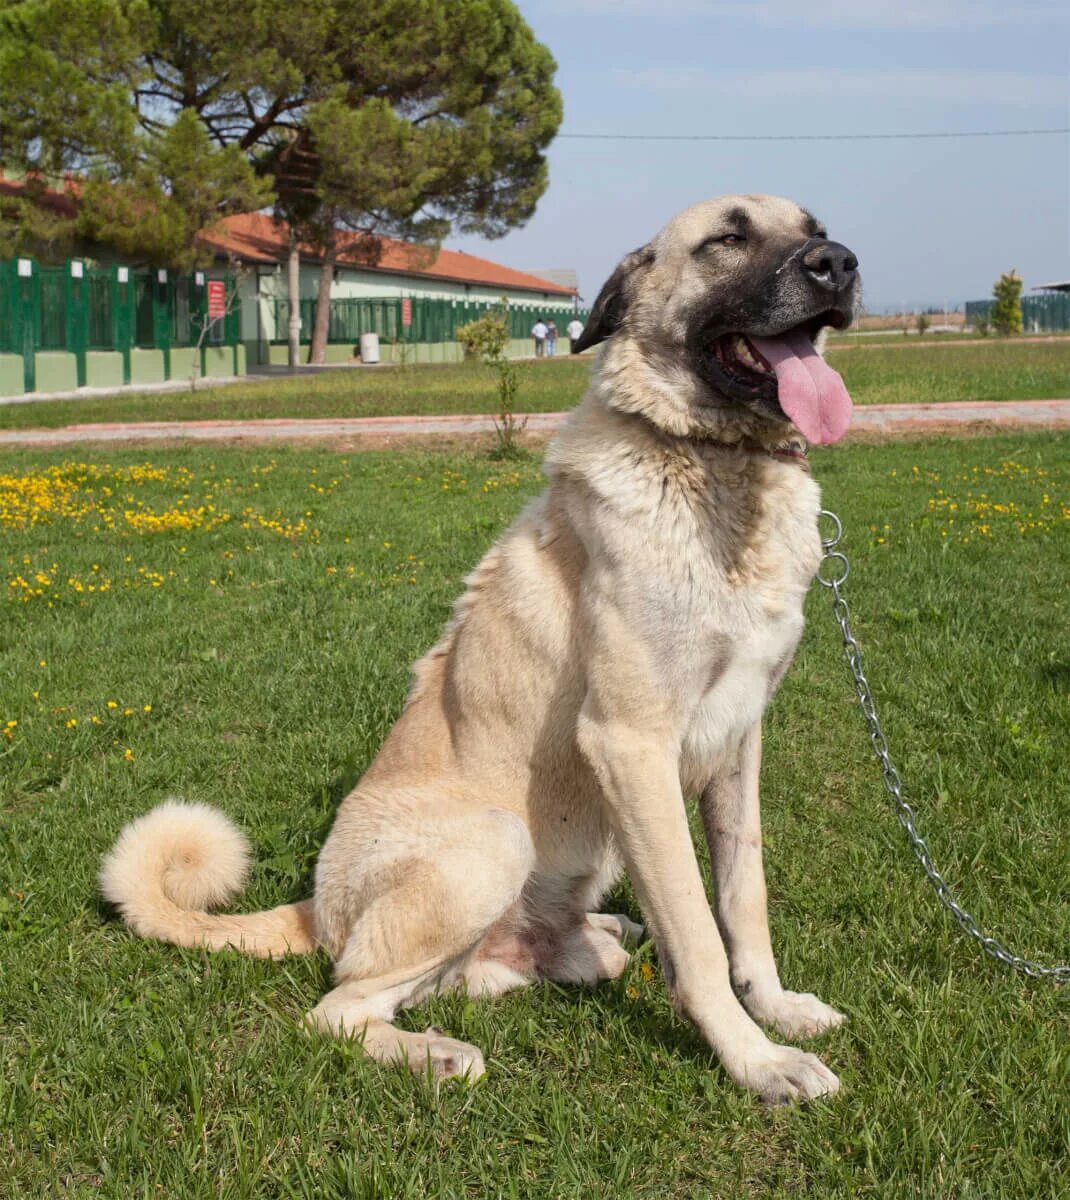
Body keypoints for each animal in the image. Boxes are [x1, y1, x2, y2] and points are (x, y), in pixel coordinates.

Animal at [102, 194, 858, 1104]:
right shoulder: (632, 743)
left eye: (813, 227)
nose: (840, 263)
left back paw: (592, 940)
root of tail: (317, 908)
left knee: (494, 970)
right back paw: (437, 1053)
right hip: (498, 839)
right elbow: (700, 936)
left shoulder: (738, 742)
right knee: (338, 1008)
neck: (718, 465)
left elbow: (743, 903)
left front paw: (776, 1010)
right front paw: (755, 1061)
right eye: (729, 238)